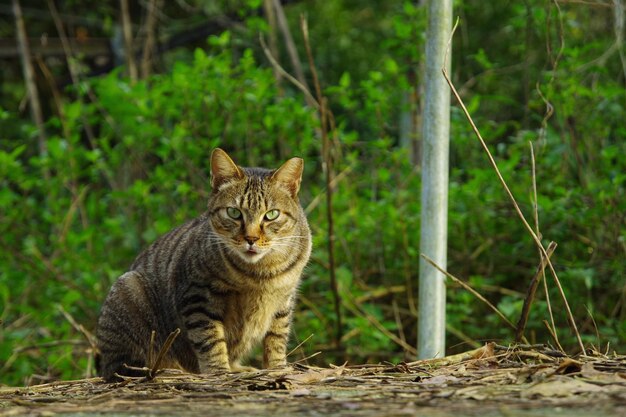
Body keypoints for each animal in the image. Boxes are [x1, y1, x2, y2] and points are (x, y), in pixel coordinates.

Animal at [96, 148, 310, 382]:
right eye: (234, 212)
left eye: (271, 214)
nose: (251, 238)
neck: (260, 274)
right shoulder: (198, 297)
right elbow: (210, 340)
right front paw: (219, 372)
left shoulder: (283, 300)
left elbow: (277, 338)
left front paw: (277, 368)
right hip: (128, 294)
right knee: (125, 367)